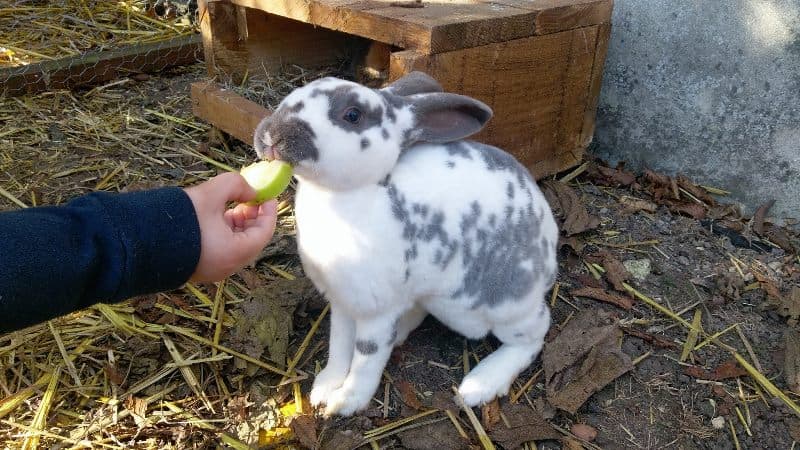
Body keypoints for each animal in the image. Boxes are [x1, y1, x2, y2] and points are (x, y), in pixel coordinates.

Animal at [252, 71, 558, 417]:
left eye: (353, 115)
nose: (271, 135)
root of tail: (550, 239)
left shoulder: (375, 312)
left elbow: (365, 360)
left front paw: (347, 402)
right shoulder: (342, 304)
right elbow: (339, 346)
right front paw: (324, 388)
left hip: (502, 307)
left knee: (534, 334)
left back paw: (480, 385)